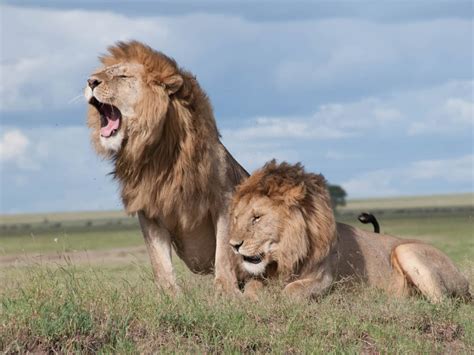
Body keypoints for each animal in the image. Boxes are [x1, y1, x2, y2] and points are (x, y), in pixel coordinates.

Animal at [85, 41, 248, 294]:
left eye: (122, 76)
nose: (90, 81)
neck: (157, 154)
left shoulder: (224, 199)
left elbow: (223, 251)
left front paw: (226, 292)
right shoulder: (149, 210)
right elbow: (159, 260)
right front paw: (170, 295)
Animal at [229, 161, 470, 304]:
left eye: (257, 217)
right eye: (237, 217)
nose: (233, 245)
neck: (286, 255)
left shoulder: (324, 279)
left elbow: (291, 291)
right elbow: (251, 287)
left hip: (406, 250)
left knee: (443, 304)